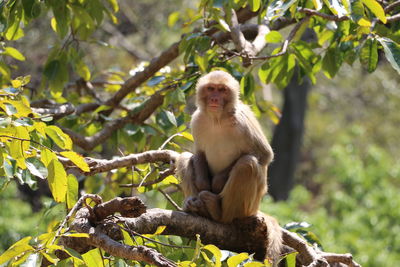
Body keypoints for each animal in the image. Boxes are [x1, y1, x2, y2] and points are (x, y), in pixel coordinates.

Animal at [177, 70, 282, 262]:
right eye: (211, 88)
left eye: (222, 90)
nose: (214, 98)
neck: (218, 119)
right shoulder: (197, 119)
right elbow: (199, 153)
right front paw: (203, 182)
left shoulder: (242, 121)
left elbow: (264, 155)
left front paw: (217, 182)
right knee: (185, 157)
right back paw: (196, 206)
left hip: (248, 207)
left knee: (247, 164)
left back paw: (218, 213)